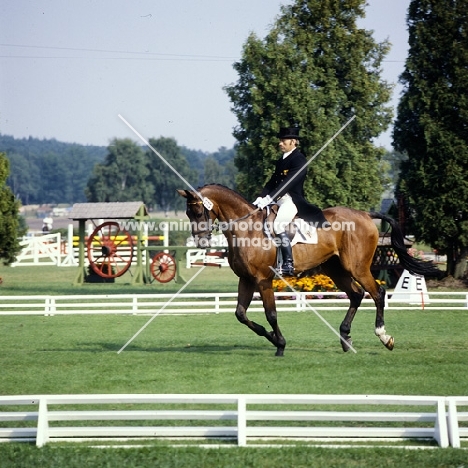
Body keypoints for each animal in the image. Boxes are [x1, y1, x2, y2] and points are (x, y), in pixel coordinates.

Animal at [177, 185, 440, 356]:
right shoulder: (246, 279)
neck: (246, 228)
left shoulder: (263, 280)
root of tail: (365, 214)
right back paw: (345, 338)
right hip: (336, 269)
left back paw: (384, 337)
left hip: (357, 267)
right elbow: (241, 314)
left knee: (377, 294)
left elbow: (271, 314)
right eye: (189, 213)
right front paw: (270, 337)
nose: (201, 242)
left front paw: (280, 345)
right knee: (356, 295)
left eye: (198, 212)